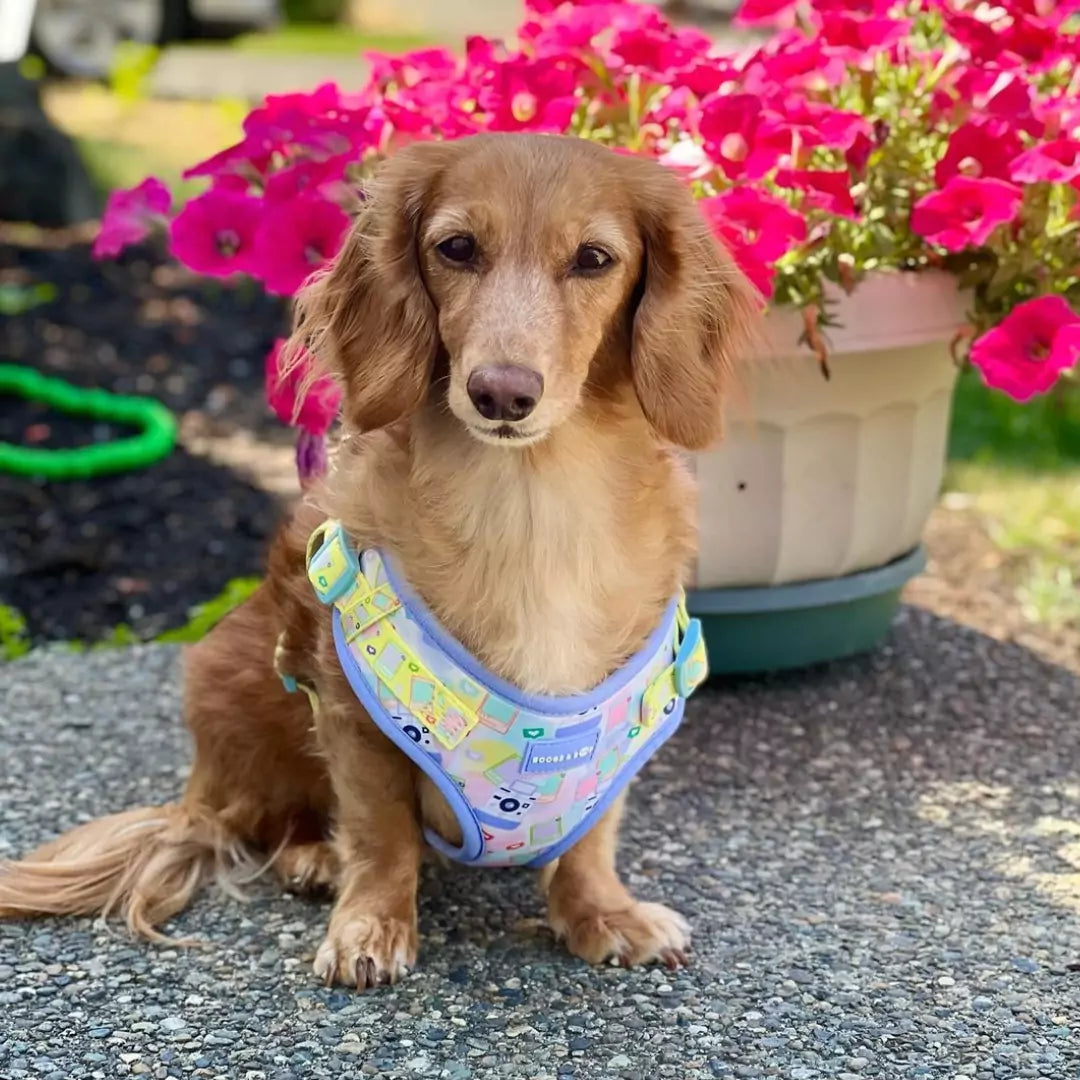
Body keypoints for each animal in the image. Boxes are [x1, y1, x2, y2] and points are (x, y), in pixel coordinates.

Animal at [0, 132, 760, 989]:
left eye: (594, 259)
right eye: (456, 248)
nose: (501, 394)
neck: (531, 505)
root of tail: (200, 789)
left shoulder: (621, 735)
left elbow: (592, 839)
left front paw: (604, 913)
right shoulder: (355, 718)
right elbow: (381, 831)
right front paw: (370, 924)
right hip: (237, 692)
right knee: (270, 821)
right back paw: (311, 857)